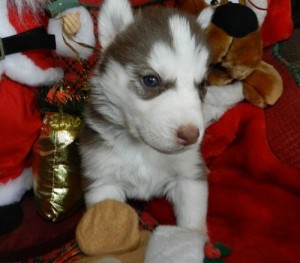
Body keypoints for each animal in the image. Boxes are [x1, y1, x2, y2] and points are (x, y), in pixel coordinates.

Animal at [80, 0, 211, 232]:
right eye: (151, 80)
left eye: (202, 84)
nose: (190, 135)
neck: (142, 151)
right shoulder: (102, 178)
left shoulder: (189, 174)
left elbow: (191, 222)